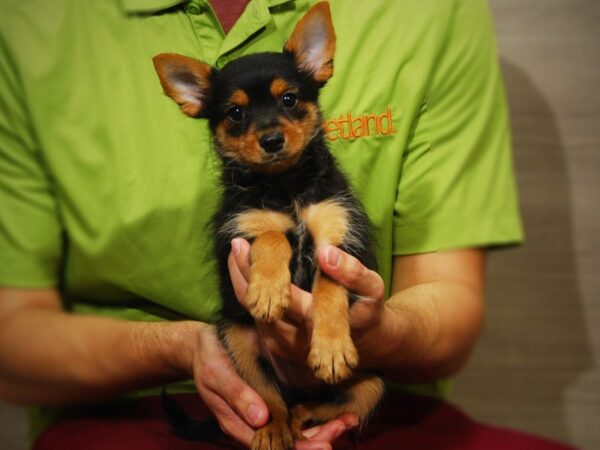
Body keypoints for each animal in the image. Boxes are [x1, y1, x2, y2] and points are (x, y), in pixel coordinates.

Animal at [155, 1, 384, 448]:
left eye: (290, 99)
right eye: (236, 113)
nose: (272, 139)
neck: (285, 186)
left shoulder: (340, 240)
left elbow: (329, 286)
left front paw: (330, 348)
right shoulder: (241, 227)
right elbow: (274, 234)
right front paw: (267, 290)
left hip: (372, 382)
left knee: (322, 403)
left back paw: (302, 416)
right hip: (238, 337)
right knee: (269, 396)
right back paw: (275, 428)